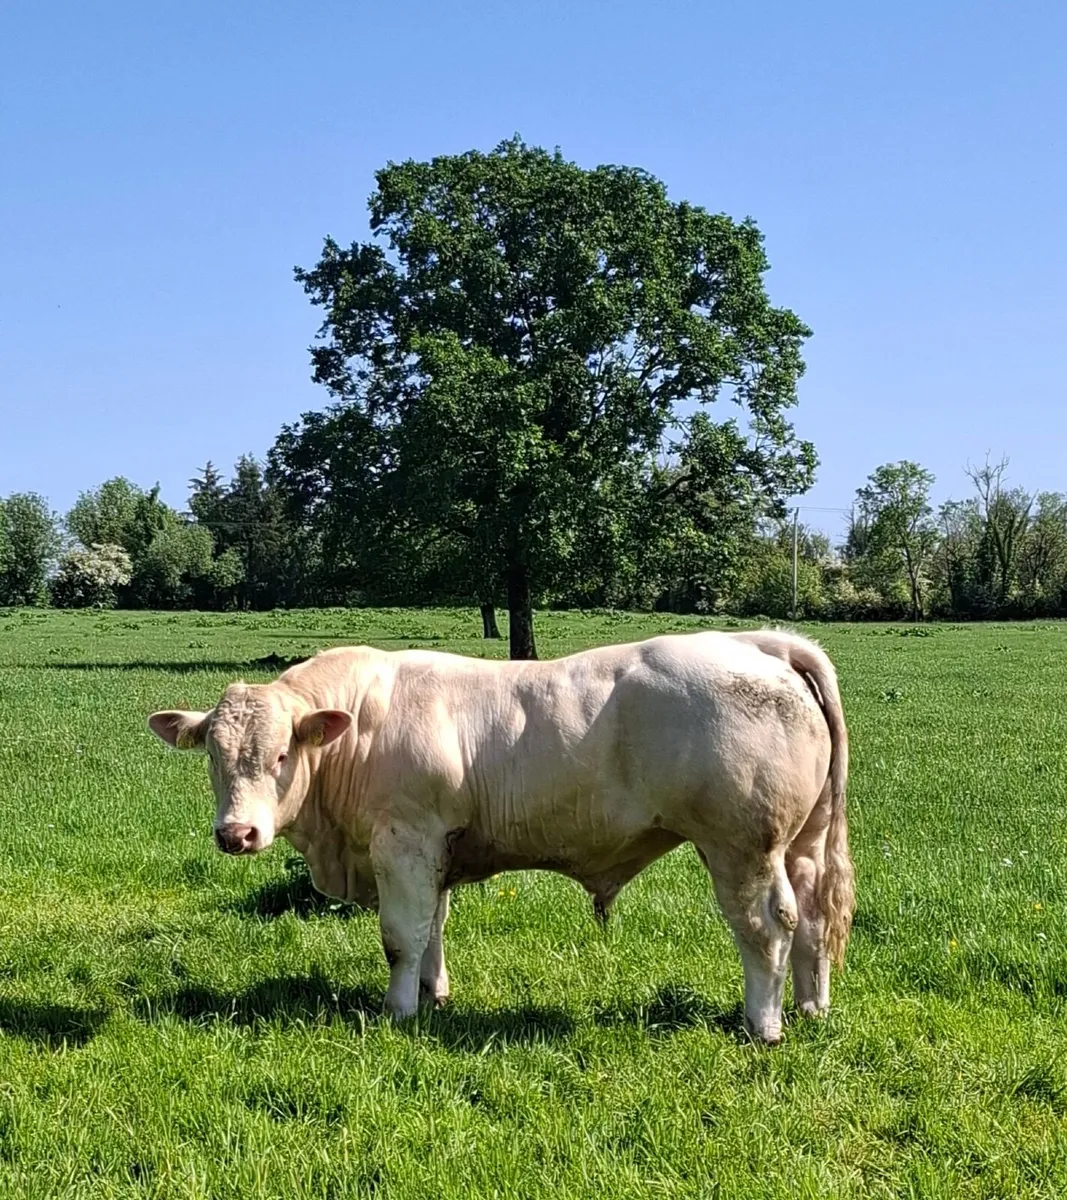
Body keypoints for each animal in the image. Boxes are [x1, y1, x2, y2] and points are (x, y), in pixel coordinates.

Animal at [147, 629, 853, 1044]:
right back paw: (811, 1008)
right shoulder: (435, 849)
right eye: (213, 756)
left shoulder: (403, 841)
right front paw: (434, 994)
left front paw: (399, 1011)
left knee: (769, 925)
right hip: (802, 841)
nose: (236, 833)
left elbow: (400, 939)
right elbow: (433, 927)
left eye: (280, 757)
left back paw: (763, 1023)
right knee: (815, 918)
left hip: (743, 846)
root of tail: (759, 643)